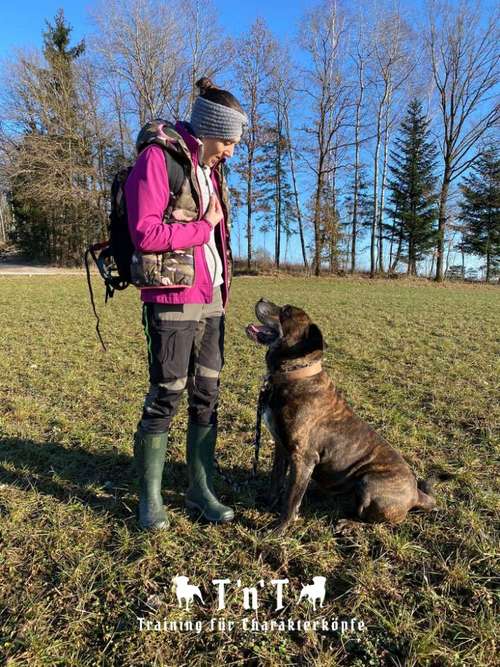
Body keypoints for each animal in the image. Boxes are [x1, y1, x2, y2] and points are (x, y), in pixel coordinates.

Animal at [246, 300, 438, 536]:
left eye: (286, 311)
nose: (262, 299)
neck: (295, 374)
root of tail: (416, 494)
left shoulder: (303, 458)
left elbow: (291, 499)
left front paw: (278, 530)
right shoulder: (281, 448)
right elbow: (276, 481)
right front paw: (268, 502)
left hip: (369, 483)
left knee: (377, 522)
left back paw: (349, 524)